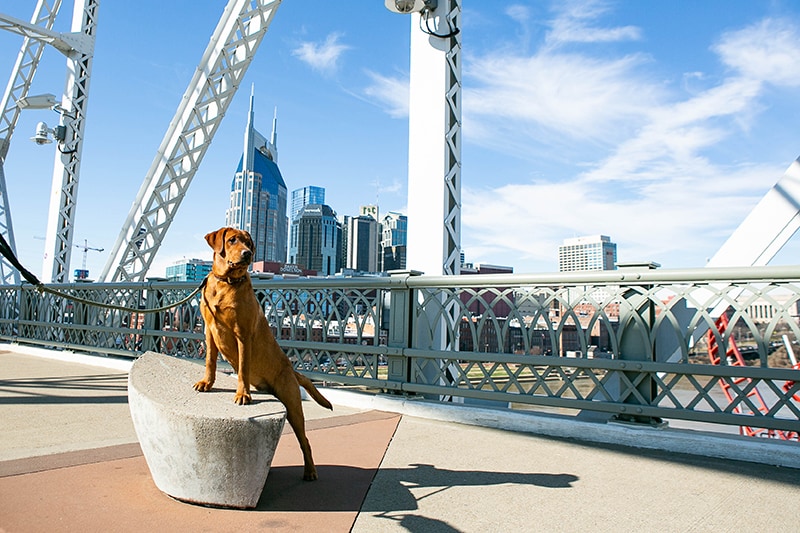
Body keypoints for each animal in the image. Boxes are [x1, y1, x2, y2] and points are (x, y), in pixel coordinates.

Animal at [195, 224, 332, 478]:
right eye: (232, 240)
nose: (247, 254)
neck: (226, 282)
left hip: (293, 406)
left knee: (305, 441)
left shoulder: (243, 334)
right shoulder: (209, 330)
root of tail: (292, 371)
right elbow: (210, 360)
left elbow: (243, 369)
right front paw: (206, 383)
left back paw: (310, 471)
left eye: (248, 243)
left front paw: (242, 395)